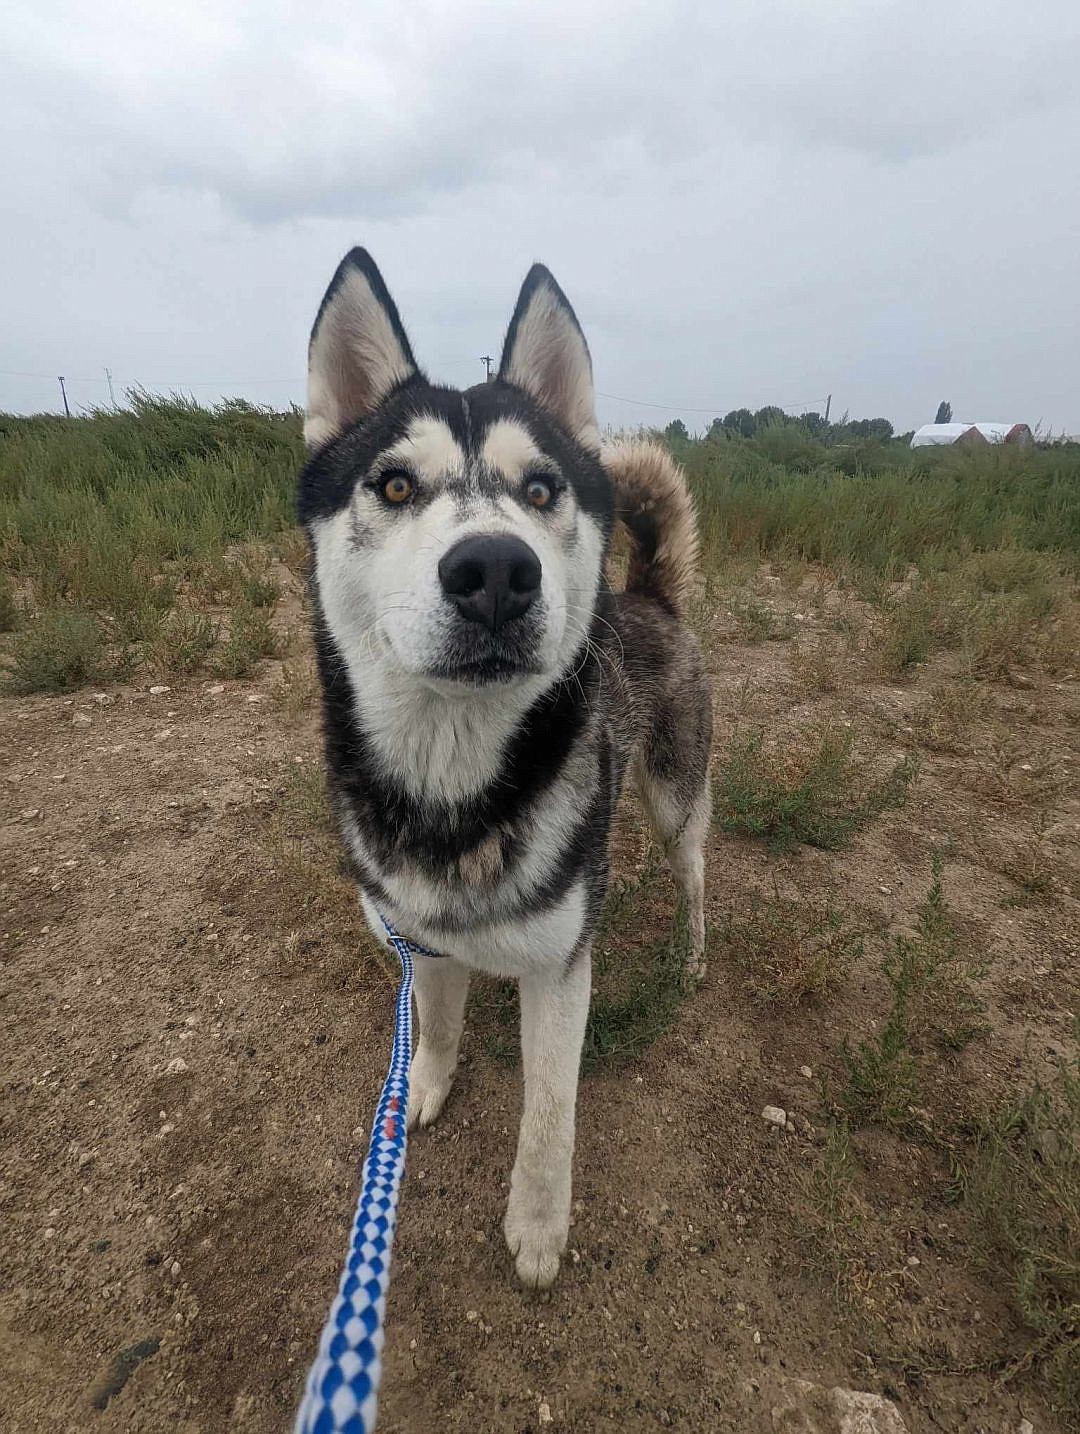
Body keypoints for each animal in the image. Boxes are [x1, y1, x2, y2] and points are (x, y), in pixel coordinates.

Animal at [299, 246, 711, 1290]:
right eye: (393, 486)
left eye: (540, 490)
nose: (495, 570)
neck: (457, 794)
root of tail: (649, 595)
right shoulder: (423, 947)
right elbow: (436, 1027)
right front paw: (421, 1092)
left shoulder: (562, 974)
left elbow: (548, 1115)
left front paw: (537, 1226)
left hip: (676, 799)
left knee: (695, 876)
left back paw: (692, 956)